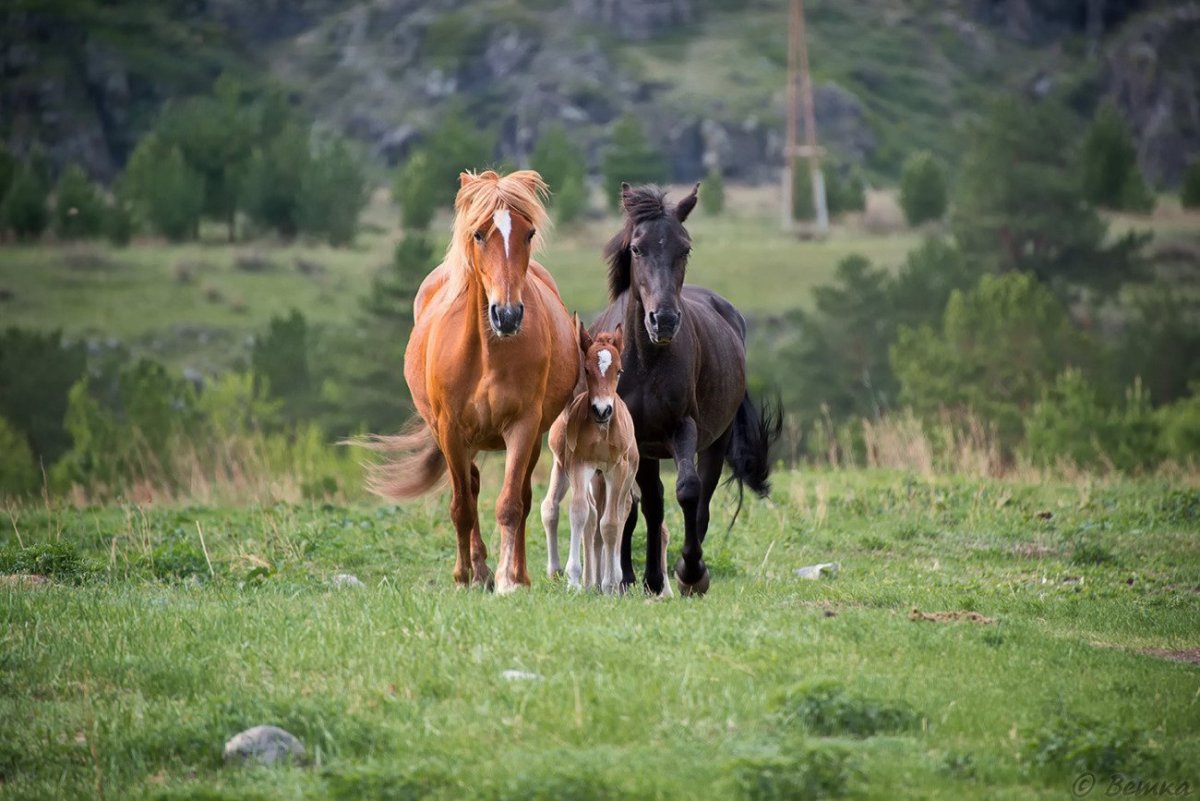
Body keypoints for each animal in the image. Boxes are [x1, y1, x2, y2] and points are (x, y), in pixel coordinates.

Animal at [355, 169, 579, 593]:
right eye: (478, 233)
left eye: (528, 232)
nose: (507, 315)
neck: (488, 352)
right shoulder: (450, 430)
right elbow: (461, 506)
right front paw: (464, 576)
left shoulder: (523, 426)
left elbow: (510, 503)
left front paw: (510, 579)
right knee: (471, 489)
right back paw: (479, 569)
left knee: (521, 495)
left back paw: (512, 572)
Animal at [540, 322, 642, 594]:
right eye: (586, 369)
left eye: (619, 370)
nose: (602, 410)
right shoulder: (577, 464)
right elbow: (579, 512)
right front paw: (575, 580)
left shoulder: (616, 469)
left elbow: (611, 524)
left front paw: (608, 584)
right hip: (587, 475)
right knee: (590, 514)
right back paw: (591, 580)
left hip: (626, 474)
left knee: (621, 510)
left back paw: (614, 579)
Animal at [590, 182, 781, 596]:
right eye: (637, 248)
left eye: (685, 248)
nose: (663, 320)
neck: (647, 360)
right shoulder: (637, 439)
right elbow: (644, 504)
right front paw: (638, 578)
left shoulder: (683, 427)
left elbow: (688, 491)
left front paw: (689, 572)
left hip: (716, 441)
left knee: (701, 500)